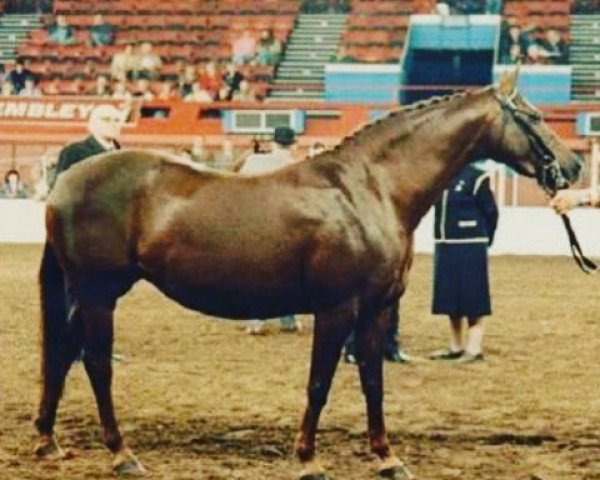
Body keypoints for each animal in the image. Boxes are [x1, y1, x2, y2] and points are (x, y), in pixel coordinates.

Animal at [32, 72, 580, 480]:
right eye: (533, 116)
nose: (573, 165)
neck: (369, 190)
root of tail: (65, 180)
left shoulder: (375, 308)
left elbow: (373, 380)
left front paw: (387, 457)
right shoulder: (336, 309)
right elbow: (320, 382)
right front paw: (309, 459)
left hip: (83, 295)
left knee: (61, 354)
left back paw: (47, 440)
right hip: (99, 295)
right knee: (95, 364)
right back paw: (121, 453)